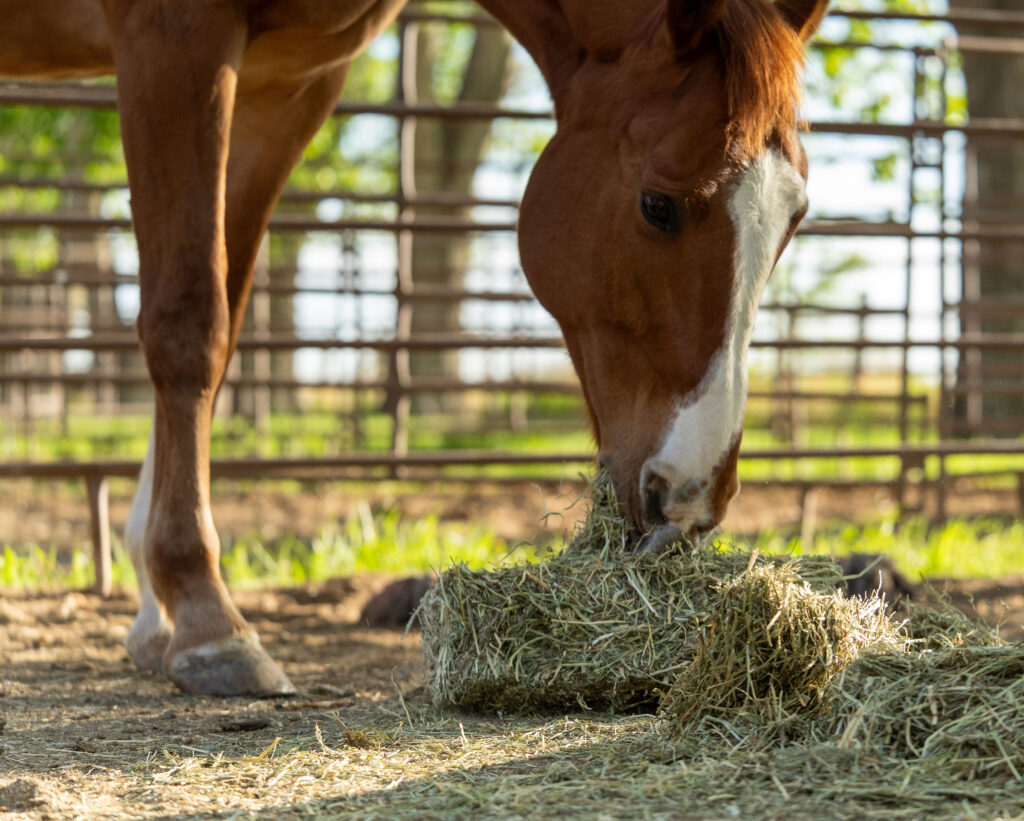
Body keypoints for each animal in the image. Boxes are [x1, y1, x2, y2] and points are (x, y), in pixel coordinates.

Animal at [0, 0, 829, 696]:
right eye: (658, 206)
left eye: (794, 219)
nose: (692, 495)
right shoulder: (174, 39)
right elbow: (187, 322)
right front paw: (206, 614)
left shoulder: (287, 83)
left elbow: (225, 314)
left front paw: (159, 610)